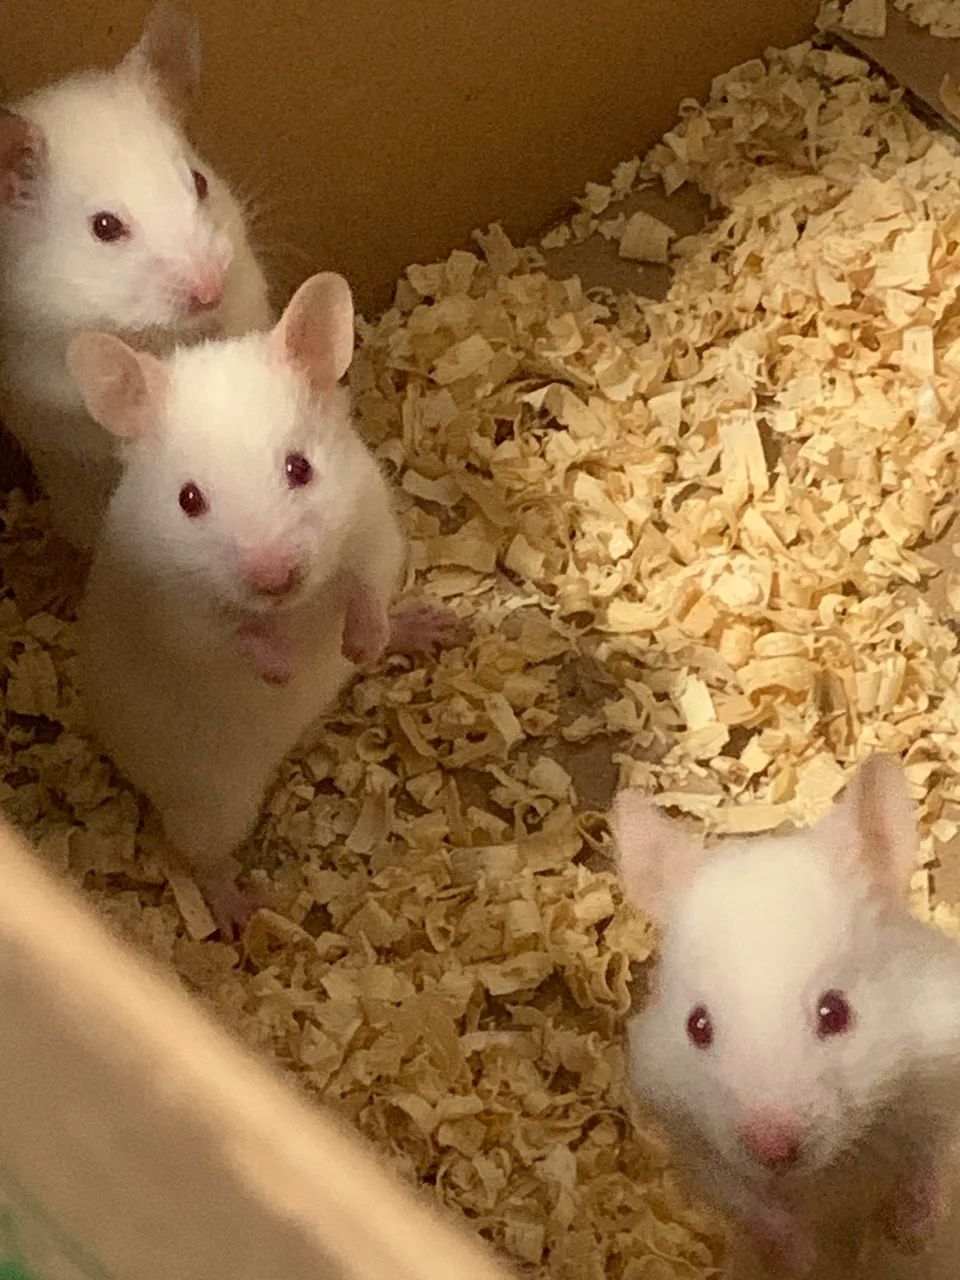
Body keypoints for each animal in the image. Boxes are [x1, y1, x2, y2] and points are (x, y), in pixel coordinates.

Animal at [66, 271, 463, 939]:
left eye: (299, 468)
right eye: (189, 499)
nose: (276, 578)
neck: (295, 606)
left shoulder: (374, 528)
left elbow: (367, 589)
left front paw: (359, 643)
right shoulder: (180, 620)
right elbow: (238, 639)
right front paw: (285, 671)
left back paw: (428, 628)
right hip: (212, 804)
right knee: (199, 858)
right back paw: (239, 917)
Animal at [611, 755, 960, 1279]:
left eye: (835, 1012)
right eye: (697, 1026)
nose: (773, 1151)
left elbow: (930, 1157)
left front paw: (910, 1236)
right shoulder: (696, 1152)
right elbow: (752, 1207)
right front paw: (802, 1261)